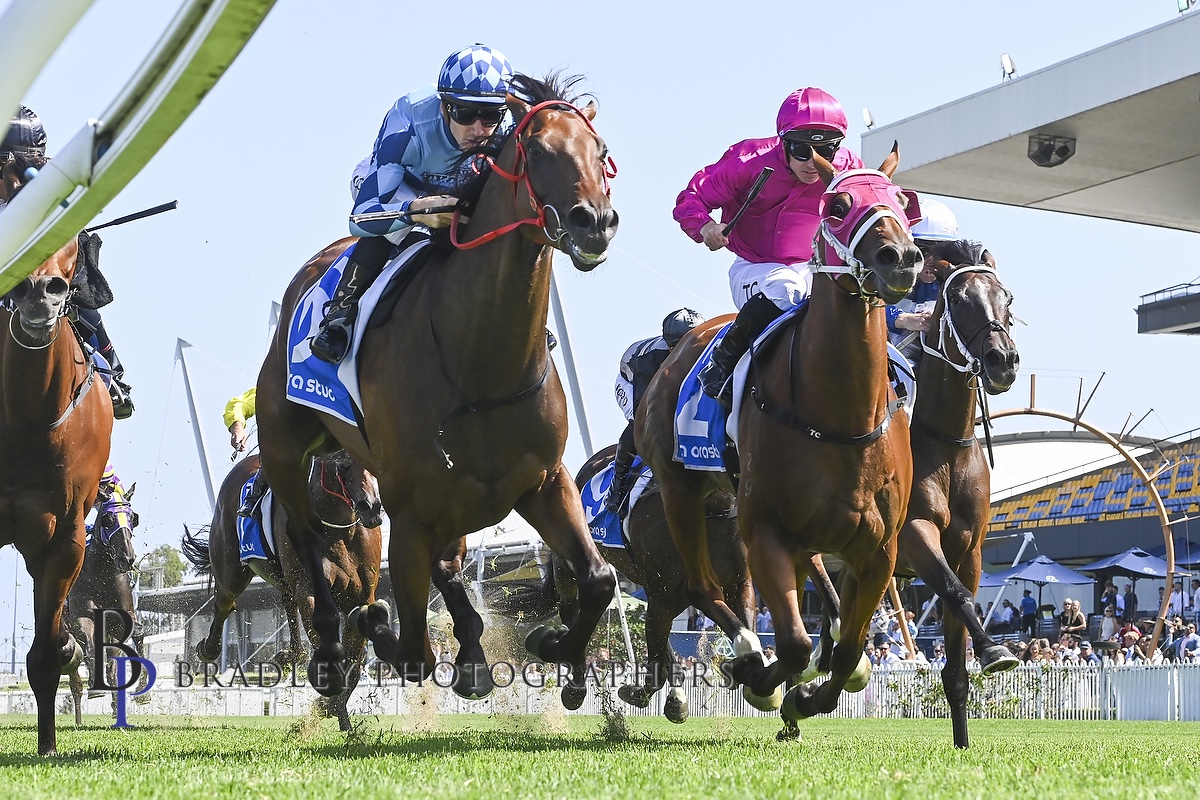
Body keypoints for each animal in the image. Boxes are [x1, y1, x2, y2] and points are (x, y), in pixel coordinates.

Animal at [178, 453, 379, 729]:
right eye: (343, 464)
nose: (371, 507)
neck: (340, 528)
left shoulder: (361, 598)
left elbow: (354, 665)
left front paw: (336, 714)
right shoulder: (310, 591)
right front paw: (329, 709)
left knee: (287, 604)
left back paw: (293, 654)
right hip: (232, 570)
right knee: (224, 603)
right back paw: (208, 648)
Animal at [255, 76, 619, 705]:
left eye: (599, 152)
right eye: (537, 150)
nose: (593, 221)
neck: (481, 365)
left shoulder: (544, 482)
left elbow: (598, 578)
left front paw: (556, 648)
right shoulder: (407, 514)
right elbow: (408, 649)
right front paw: (371, 629)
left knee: (450, 568)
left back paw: (472, 652)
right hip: (285, 449)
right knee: (304, 538)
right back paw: (329, 646)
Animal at [638, 146, 916, 729]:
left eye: (904, 202)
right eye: (837, 206)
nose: (900, 258)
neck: (840, 417)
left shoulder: (879, 550)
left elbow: (852, 651)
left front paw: (810, 691)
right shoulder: (763, 529)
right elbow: (790, 643)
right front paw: (766, 682)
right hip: (680, 488)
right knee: (701, 585)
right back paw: (746, 652)